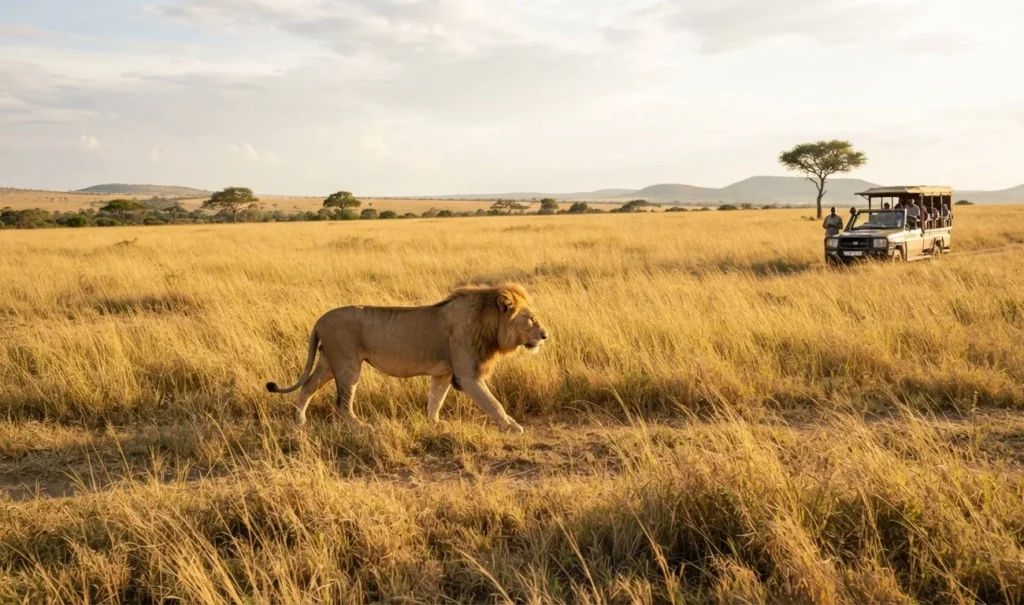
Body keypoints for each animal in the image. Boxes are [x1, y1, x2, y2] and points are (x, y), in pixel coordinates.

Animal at [265, 283, 548, 433]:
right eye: (531, 318)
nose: (545, 335)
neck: (486, 322)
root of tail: (320, 319)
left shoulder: (443, 373)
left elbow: (435, 399)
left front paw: (435, 423)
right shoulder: (467, 376)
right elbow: (493, 403)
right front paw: (512, 426)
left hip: (327, 363)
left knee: (307, 388)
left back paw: (300, 422)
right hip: (347, 365)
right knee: (342, 403)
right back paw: (361, 426)